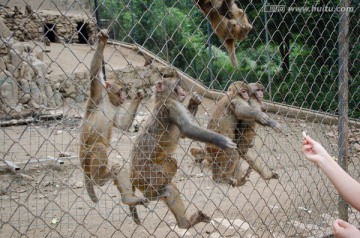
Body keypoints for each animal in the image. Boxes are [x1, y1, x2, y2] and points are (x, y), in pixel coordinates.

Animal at [79, 29, 148, 210]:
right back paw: (99, 179)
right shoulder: (98, 93)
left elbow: (122, 124)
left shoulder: (117, 108)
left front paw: (138, 96)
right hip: (86, 158)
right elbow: (94, 73)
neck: (110, 102)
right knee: (98, 147)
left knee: (118, 165)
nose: (125, 96)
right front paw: (102, 42)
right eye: (121, 90)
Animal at [129, 77, 236, 228]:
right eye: (177, 86)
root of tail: (131, 173)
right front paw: (221, 141)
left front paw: (194, 101)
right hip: (145, 174)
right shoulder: (172, 106)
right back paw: (152, 195)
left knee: (170, 188)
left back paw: (186, 223)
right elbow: (187, 129)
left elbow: (183, 134)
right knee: (171, 163)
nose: (183, 90)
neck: (163, 99)